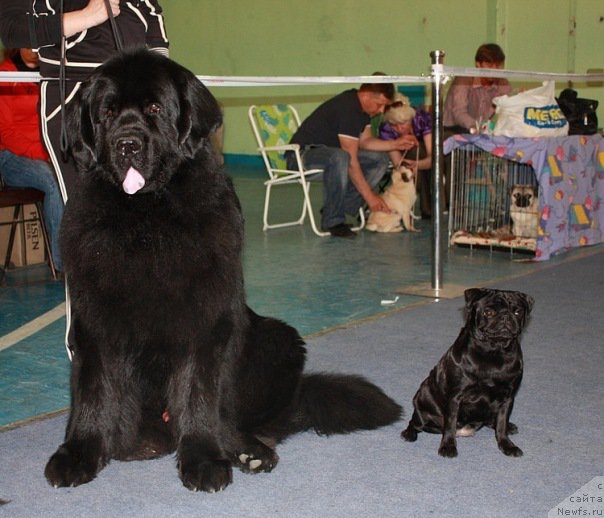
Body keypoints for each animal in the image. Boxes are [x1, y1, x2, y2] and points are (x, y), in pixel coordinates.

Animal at [46, 50, 402, 494]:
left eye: (155, 109)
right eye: (107, 113)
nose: (127, 143)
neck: (145, 222)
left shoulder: (204, 321)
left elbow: (199, 394)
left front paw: (203, 459)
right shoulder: (95, 321)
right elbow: (93, 392)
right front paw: (78, 452)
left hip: (280, 340)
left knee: (242, 420)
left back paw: (248, 451)